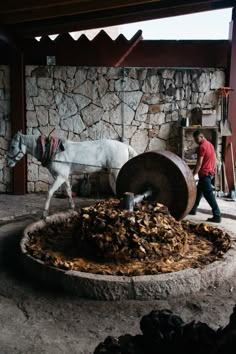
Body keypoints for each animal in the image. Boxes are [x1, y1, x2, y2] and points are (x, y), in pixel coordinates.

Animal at [6, 131, 136, 217]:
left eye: (12, 147)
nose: (8, 163)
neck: (55, 152)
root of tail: (125, 146)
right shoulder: (64, 177)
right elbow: (68, 191)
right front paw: (71, 207)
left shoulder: (60, 177)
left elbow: (50, 192)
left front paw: (45, 213)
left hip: (116, 171)